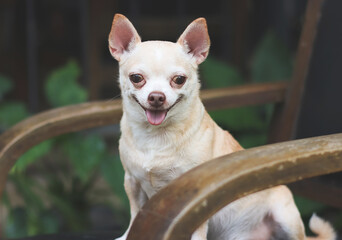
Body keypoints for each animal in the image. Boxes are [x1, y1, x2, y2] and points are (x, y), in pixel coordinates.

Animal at [108, 13, 336, 240]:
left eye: (179, 79)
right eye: (136, 78)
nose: (156, 97)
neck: (155, 136)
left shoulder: (197, 196)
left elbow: (197, 232)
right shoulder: (132, 183)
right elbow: (135, 213)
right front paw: (126, 235)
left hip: (286, 217)